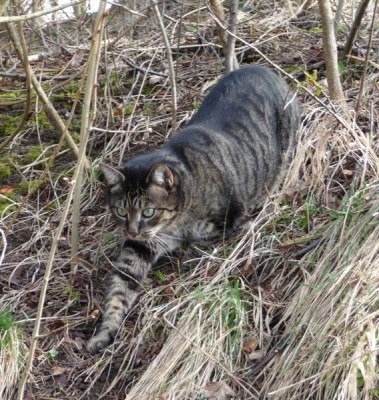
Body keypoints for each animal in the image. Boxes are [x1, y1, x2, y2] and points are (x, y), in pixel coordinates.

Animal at [87, 65, 302, 354]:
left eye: (148, 212)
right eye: (121, 212)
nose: (132, 231)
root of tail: (265, 69)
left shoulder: (226, 219)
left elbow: (206, 236)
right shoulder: (139, 247)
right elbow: (121, 286)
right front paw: (105, 331)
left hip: (286, 153)